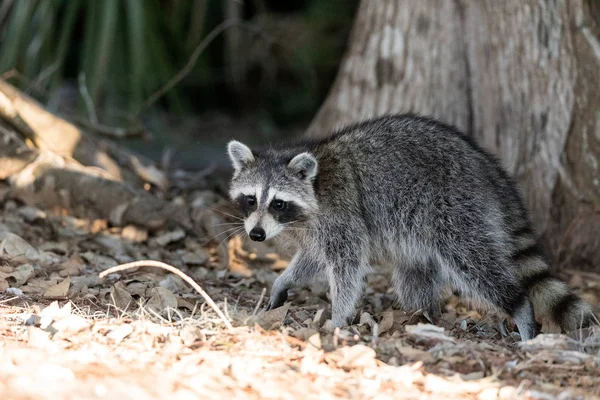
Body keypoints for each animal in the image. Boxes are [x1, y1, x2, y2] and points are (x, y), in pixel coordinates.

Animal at [226, 113, 596, 340]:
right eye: (250, 200)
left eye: (278, 203)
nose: (256, 235)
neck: (314, 185)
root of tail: (488, 168)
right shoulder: (314, 229)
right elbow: (312, 258)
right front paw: (284, 280)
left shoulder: (341, 214)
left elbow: (347, 265)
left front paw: (339, 317)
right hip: (423, 236)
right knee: (415, 277)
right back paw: (422, 315)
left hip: (457, 212)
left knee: (475, 264)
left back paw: (519, 309)